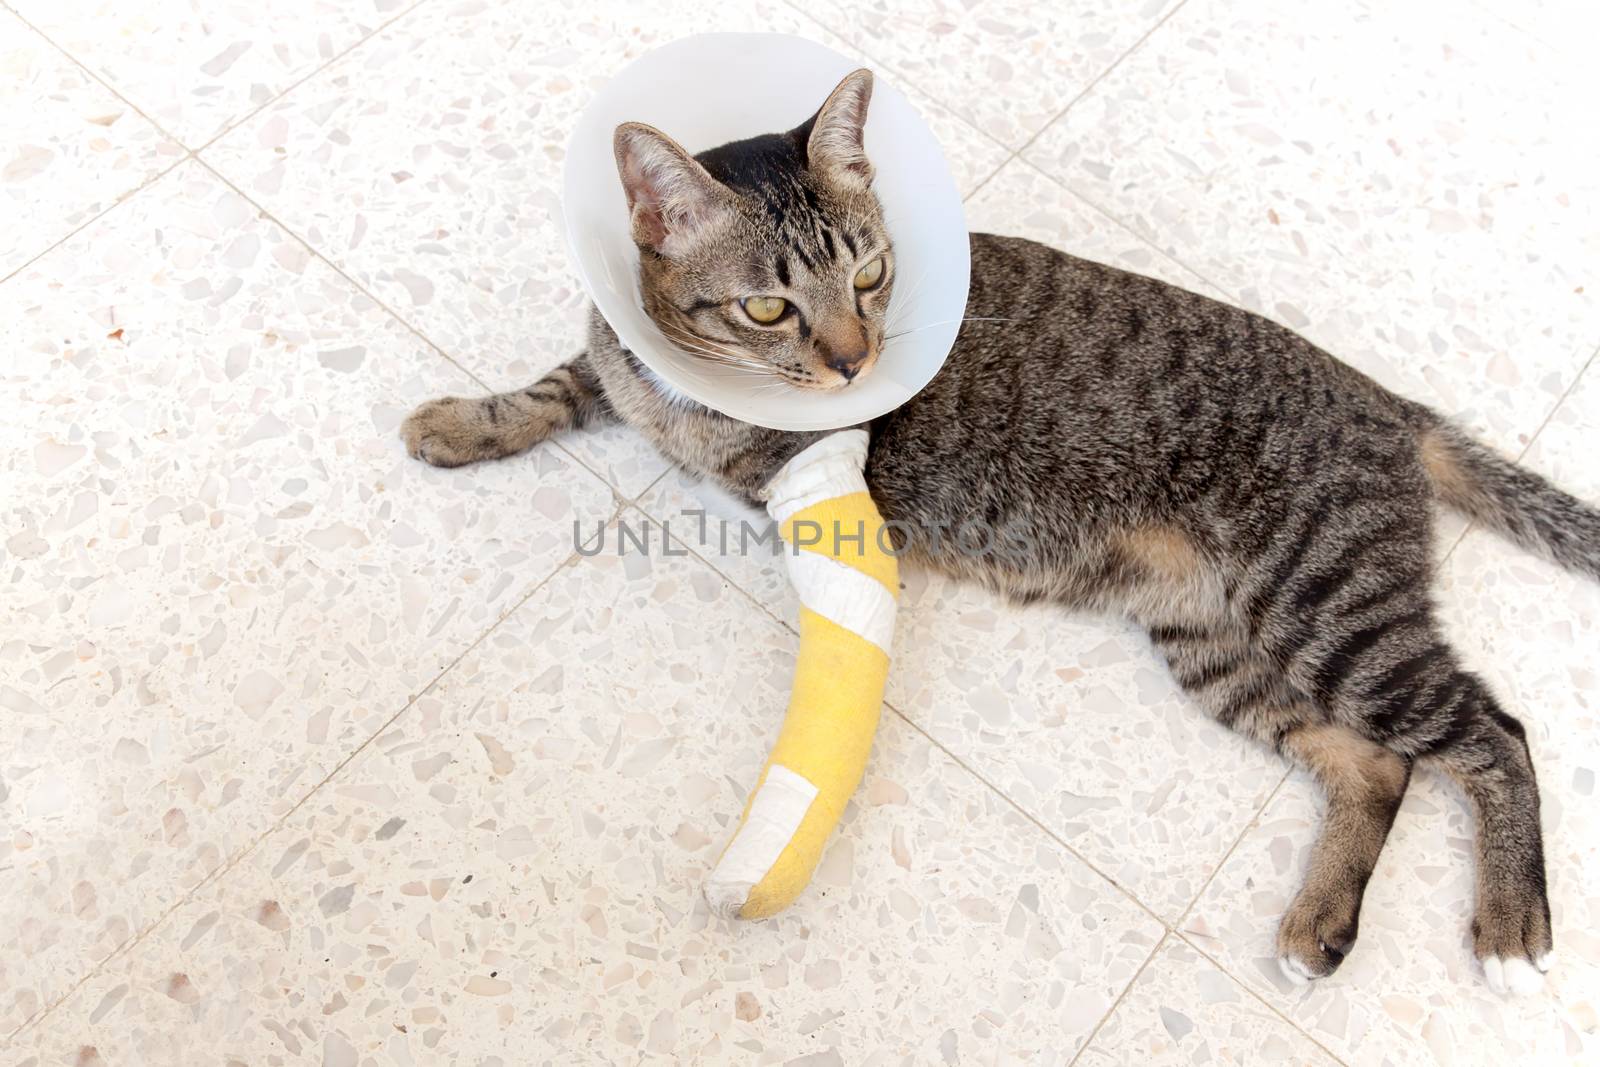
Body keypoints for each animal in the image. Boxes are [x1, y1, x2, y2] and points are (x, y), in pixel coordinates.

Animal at [400, 70, 1600, 998]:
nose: (853, 359)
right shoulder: (619, 369)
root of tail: (1390, 403)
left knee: (1492, 731)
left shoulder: (799, 470)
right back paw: (1322, 925)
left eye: (870, 275)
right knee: (1377, 765)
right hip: (1215, 647)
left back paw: (1508, 926)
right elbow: (560, 385)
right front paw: (463, 421)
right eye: (768, 305)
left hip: (1326, 606)